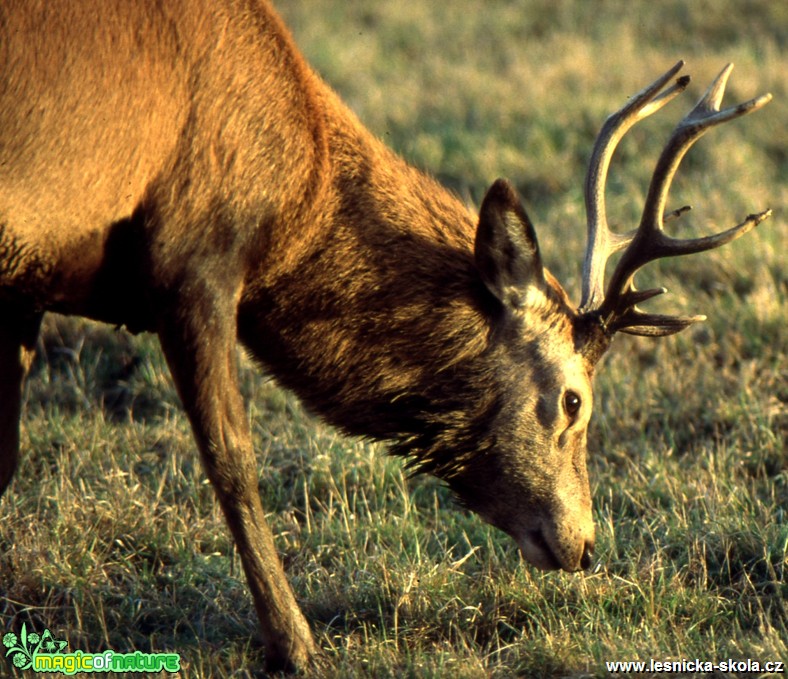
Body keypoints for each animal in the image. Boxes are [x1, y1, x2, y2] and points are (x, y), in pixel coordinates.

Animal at [0, 0, 768, 676]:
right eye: (573, 400)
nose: (584, 545)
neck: (293, 202)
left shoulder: (28, 281)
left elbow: (8, 460)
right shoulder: (194, 262)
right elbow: (233, 463)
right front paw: (295, 646)